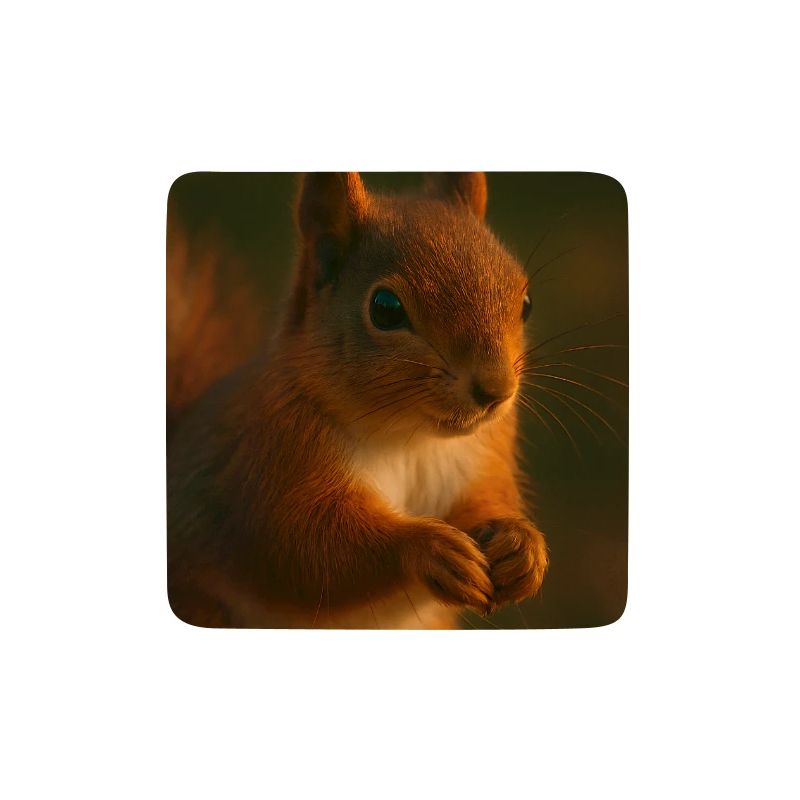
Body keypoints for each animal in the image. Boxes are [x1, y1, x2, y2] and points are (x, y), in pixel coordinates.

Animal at [167, 172, 549, 628]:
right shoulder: (271, 463)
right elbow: (303, 549)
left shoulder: (483, 455)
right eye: (385, 309)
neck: (409, 438)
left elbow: (488, 499)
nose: (496, 391)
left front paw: (522, 545)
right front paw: (429, 549)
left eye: (526, 303)